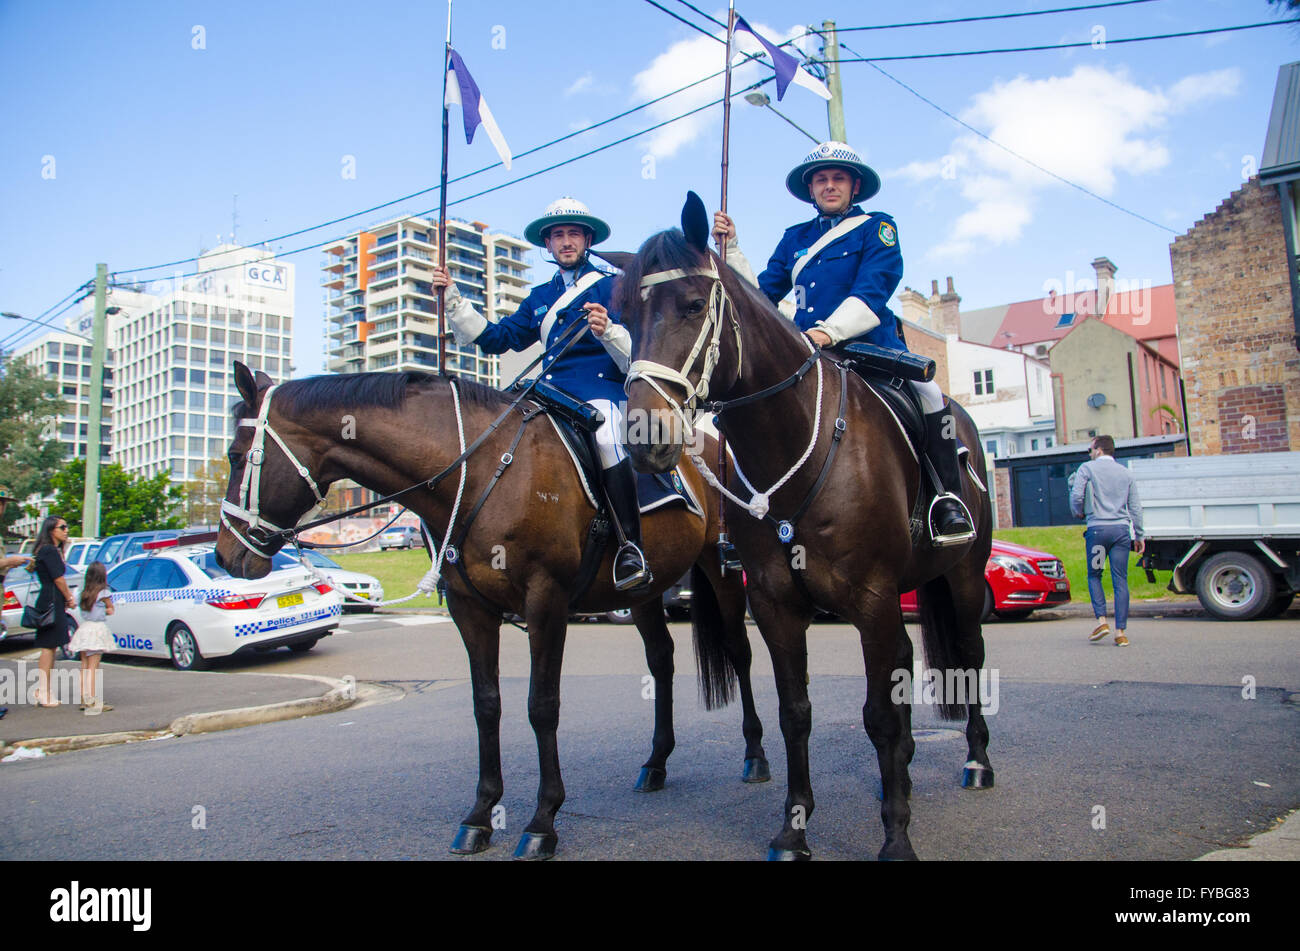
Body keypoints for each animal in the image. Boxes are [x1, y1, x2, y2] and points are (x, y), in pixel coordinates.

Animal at [211, 361, 759, 857]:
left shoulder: (546, 601)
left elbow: (541, 706)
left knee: (739, 652)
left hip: (722, 572)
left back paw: (755, 755)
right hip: (642, 591)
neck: (479, 470)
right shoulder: (469, 609)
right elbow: (486, 705)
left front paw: (542, 821)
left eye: (236, 456)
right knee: (661, 660)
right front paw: (479, 815)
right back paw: (656, 763)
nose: (225, 555)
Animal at [608, 194, 993, 862]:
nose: (643, 437)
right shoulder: (775, 603)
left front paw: (896, 836)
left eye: (692, 304)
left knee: (969, 655)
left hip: (965, 577)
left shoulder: (871, 598)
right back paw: (904, 773)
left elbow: (878, 715)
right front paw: (794, 827)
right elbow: (796, 712)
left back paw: (975, 761)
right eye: (626, 316)